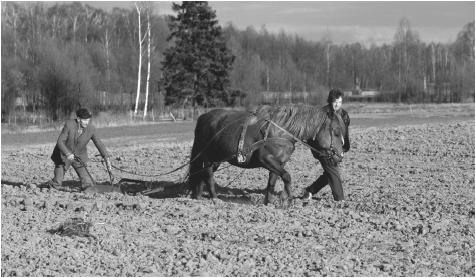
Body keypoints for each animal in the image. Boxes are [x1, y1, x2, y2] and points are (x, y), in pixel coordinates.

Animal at [186, 104, 346, 206]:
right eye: (336, 132)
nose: (340, 156)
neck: (281, 131)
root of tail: (204, 117)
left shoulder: (278, 163)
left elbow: (272, 182)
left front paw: (269, 202)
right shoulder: (266, 159)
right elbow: (287, 176)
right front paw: (287, 200)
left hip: (217, 159)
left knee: (201, 174)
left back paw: (198, 196)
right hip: (207, 157)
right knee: (207, 174)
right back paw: (214, 198)